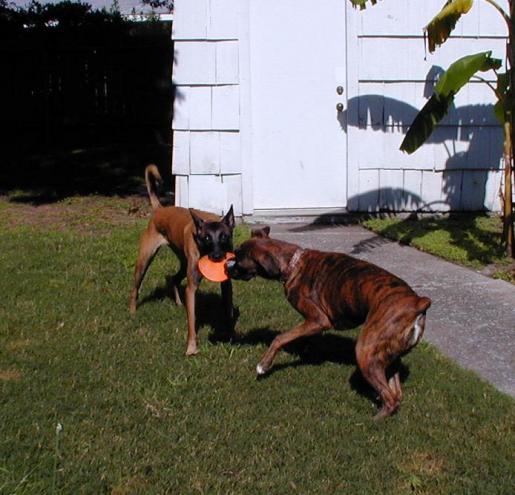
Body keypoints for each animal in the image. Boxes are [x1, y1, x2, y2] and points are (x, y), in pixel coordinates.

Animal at [129, 166, 236, 356]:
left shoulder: (226, 284)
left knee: (174, 277)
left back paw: (179, 303)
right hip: (144, 260)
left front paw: (231, 335)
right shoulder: (192, 286)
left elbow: (228, 310)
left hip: (184, 260)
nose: (216, 257)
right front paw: (191, 347)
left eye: (224, 236)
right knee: (136, 287)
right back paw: (133, 311)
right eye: (207, 238)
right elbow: (192, 319)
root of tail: (159, 210)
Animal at [228, 228, 434, 418]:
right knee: (396, 394)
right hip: (389, 355)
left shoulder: (319, 320)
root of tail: (417, 302)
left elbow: (280, 338)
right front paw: (306, 351)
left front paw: (264, 365)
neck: (292, 263)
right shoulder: (312, 324)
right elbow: (303, 338)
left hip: (366, 350)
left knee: (391, 398)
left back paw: (373, 421)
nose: (226, 268)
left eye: (238, 259)